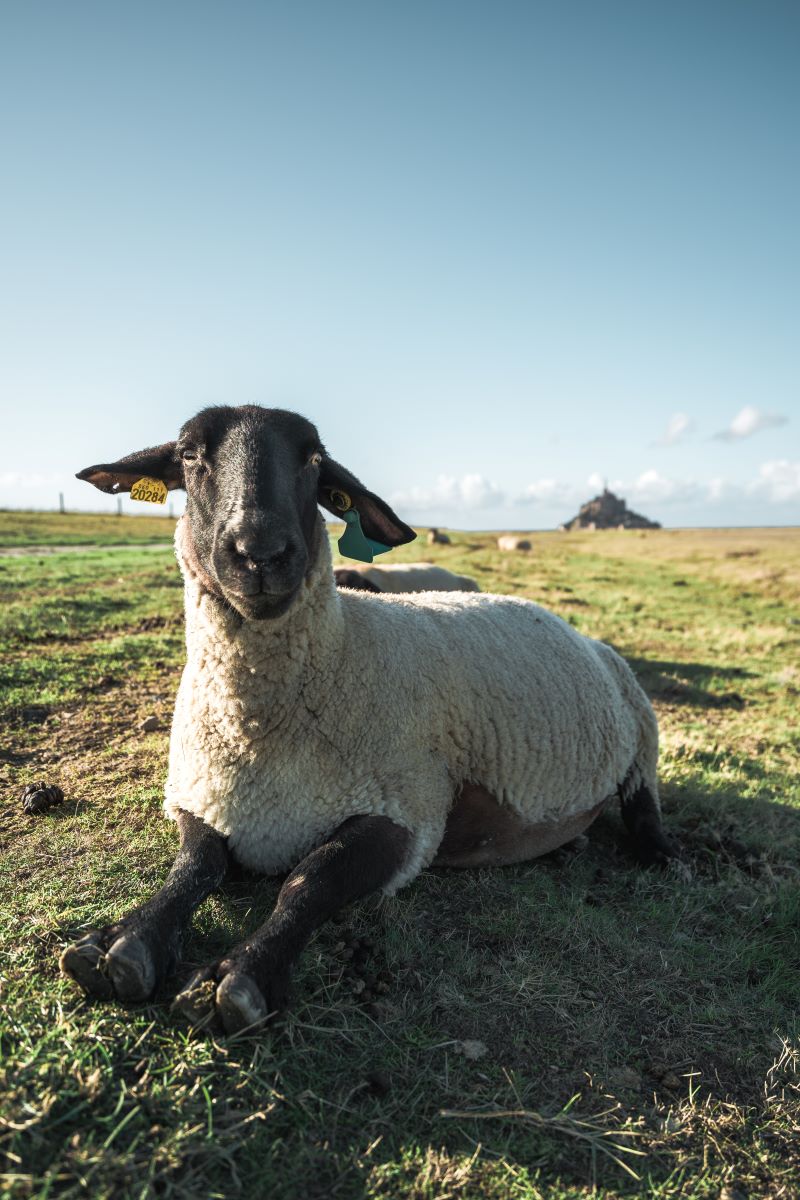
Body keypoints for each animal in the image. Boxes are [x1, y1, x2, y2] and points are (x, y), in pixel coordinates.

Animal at [61, 404, 675, 1034]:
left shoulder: (405, 810)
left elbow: (308, 882)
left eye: (313, 459)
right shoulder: (201, 797)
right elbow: (193, 867)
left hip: (642, 738)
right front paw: (122, 945)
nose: (261, 552)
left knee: (644, 805)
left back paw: (661, 857)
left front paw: (239, 978)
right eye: (188, 454)